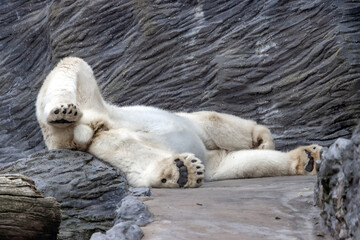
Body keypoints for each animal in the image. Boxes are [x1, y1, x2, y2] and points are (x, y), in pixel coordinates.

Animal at [35, 57, 322, 188]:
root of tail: (90, 125)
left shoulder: (214, 159)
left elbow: (239, 164)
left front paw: (309, 159)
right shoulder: (196, 122)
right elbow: (216, 120)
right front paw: (263, 138)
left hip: (102, 132)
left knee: (128, 153)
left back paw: (181, 170)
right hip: (94, 102)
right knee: (72, 65)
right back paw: (62, 112)